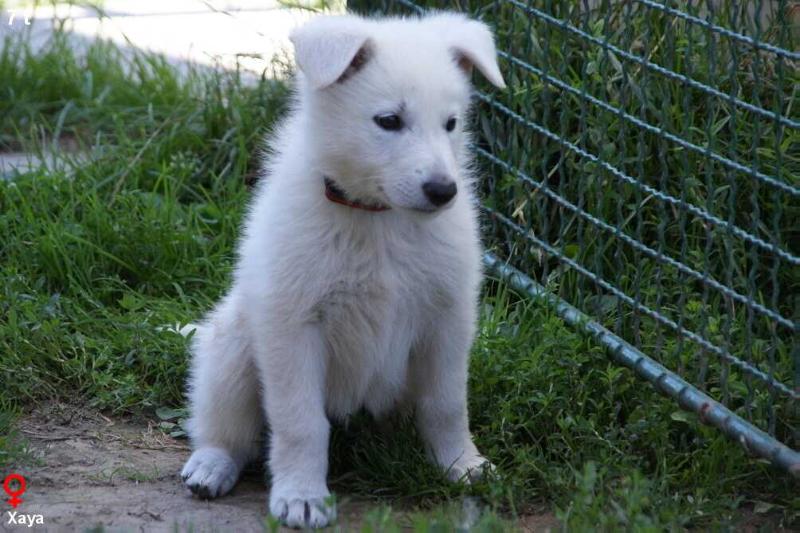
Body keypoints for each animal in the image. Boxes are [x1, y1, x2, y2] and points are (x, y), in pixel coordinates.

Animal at [182, 12, 506, 528]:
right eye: (389, 121)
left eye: (451, 124)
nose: (443, 191)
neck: (377, 219)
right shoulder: (292, 325)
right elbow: (300, 422)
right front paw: (302, 496)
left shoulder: (448, 319)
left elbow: (447, 404)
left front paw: (462, 465)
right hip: (231, 350)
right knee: (225, 425)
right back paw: (212, 465)